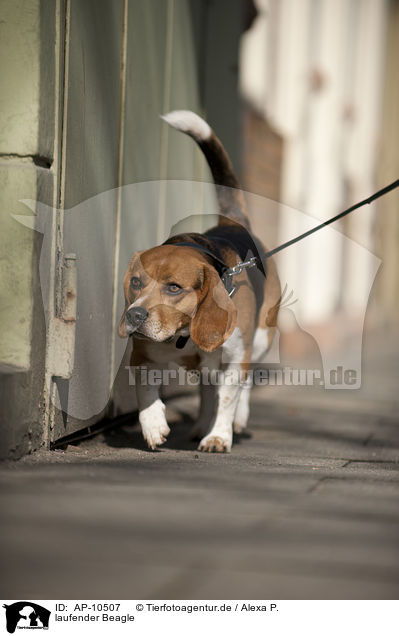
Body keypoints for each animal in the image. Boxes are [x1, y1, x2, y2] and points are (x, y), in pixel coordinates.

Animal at [119, 110, 282, 452]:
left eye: (173, 288)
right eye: (136, 283)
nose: (134, 315)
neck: (184, 334)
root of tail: (233, 222)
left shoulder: (236, 357)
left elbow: (230, 397)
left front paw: (219, 436)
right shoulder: (143, 355)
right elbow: (145, 391)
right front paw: (153, 424)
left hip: (260, 339)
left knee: (244, 385)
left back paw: (236, 421)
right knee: (208, 391)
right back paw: (200, 425)